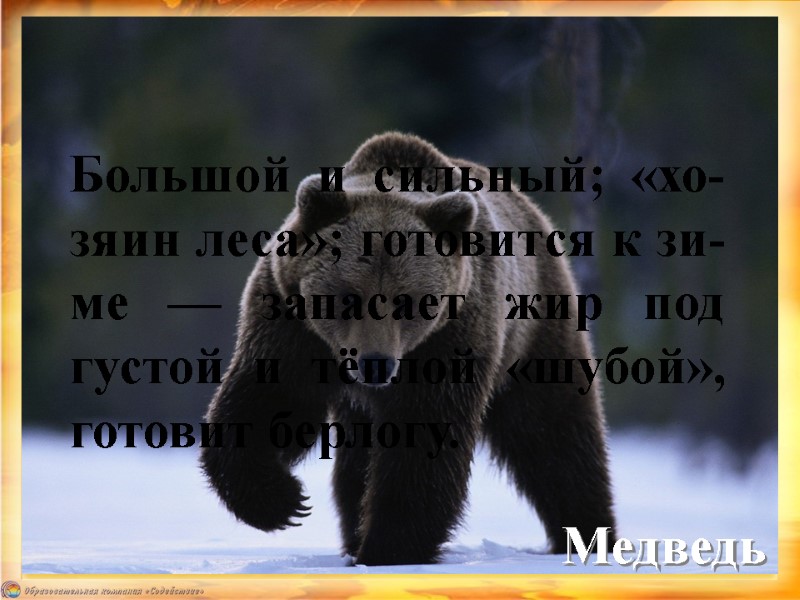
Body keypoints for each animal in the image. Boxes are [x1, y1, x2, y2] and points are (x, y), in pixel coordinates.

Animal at [200, 132, 616, 566]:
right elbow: (266, 401)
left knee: (553, 435)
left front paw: (388, 548)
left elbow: (422, 447)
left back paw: (589, 531)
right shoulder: (290, 323)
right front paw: (282, 501)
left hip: (534, 330)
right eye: (348, 297)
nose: (375, 364)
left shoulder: (450, 339)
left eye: (408, 301)